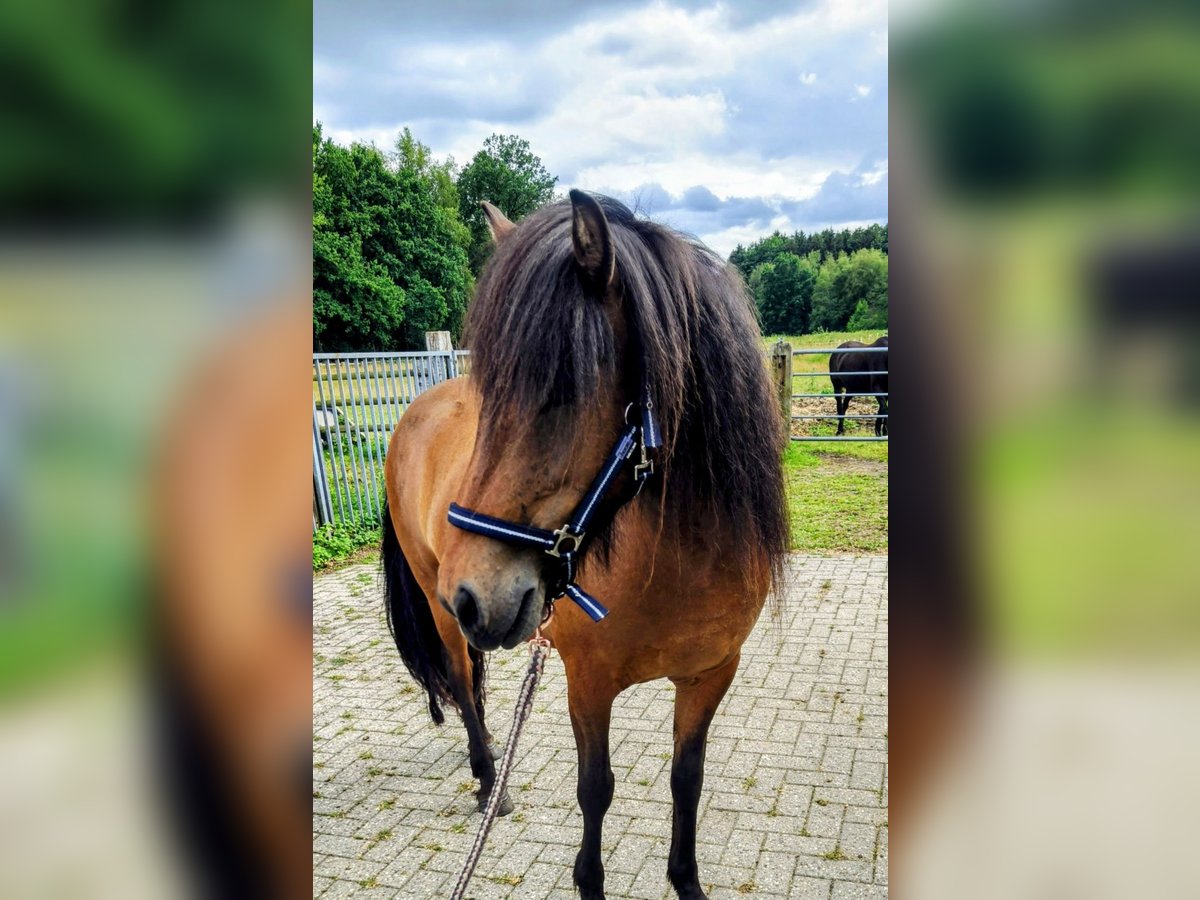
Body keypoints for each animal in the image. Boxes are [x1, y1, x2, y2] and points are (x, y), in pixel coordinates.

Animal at [380, 190, 788, 900]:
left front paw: (685, 881)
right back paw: (489, 781)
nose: (476, 594)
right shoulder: (587, 681)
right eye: (491, 399)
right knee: (460, 676)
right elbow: (595, 790)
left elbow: (688, 779)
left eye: (564, 391)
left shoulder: (711, 673)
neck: (676, 563)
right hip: (438, 604)